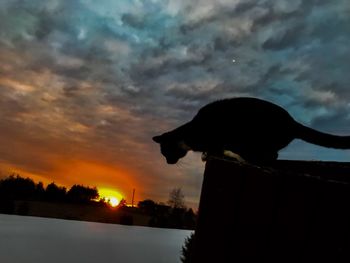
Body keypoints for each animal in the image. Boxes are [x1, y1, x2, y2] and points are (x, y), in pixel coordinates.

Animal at [154, 98, 350, 165]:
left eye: (166, 152)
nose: (168, 163)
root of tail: (292, 122)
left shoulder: (215, 138)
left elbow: (214, 149)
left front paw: (209, 155)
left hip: (253, 142)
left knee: (271, 157)